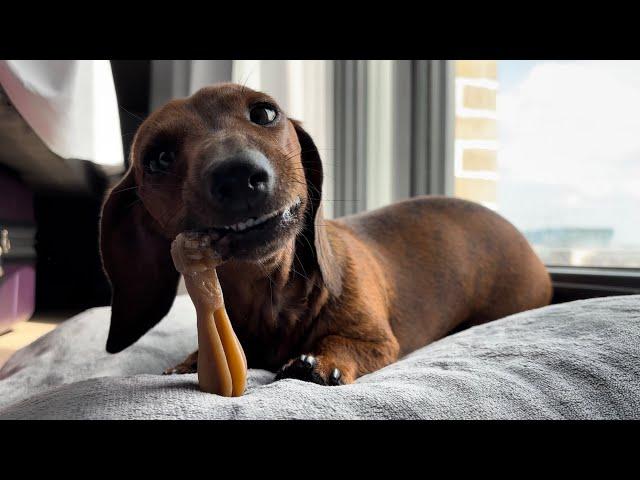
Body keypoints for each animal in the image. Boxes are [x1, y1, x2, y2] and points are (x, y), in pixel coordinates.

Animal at [99, 81, 552, 382]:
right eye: (158, 158)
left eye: (264, 113)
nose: (238, 175)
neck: (271, 297)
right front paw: (191, 361)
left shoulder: (376, 342)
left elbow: (343, 346)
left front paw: (318, 361)